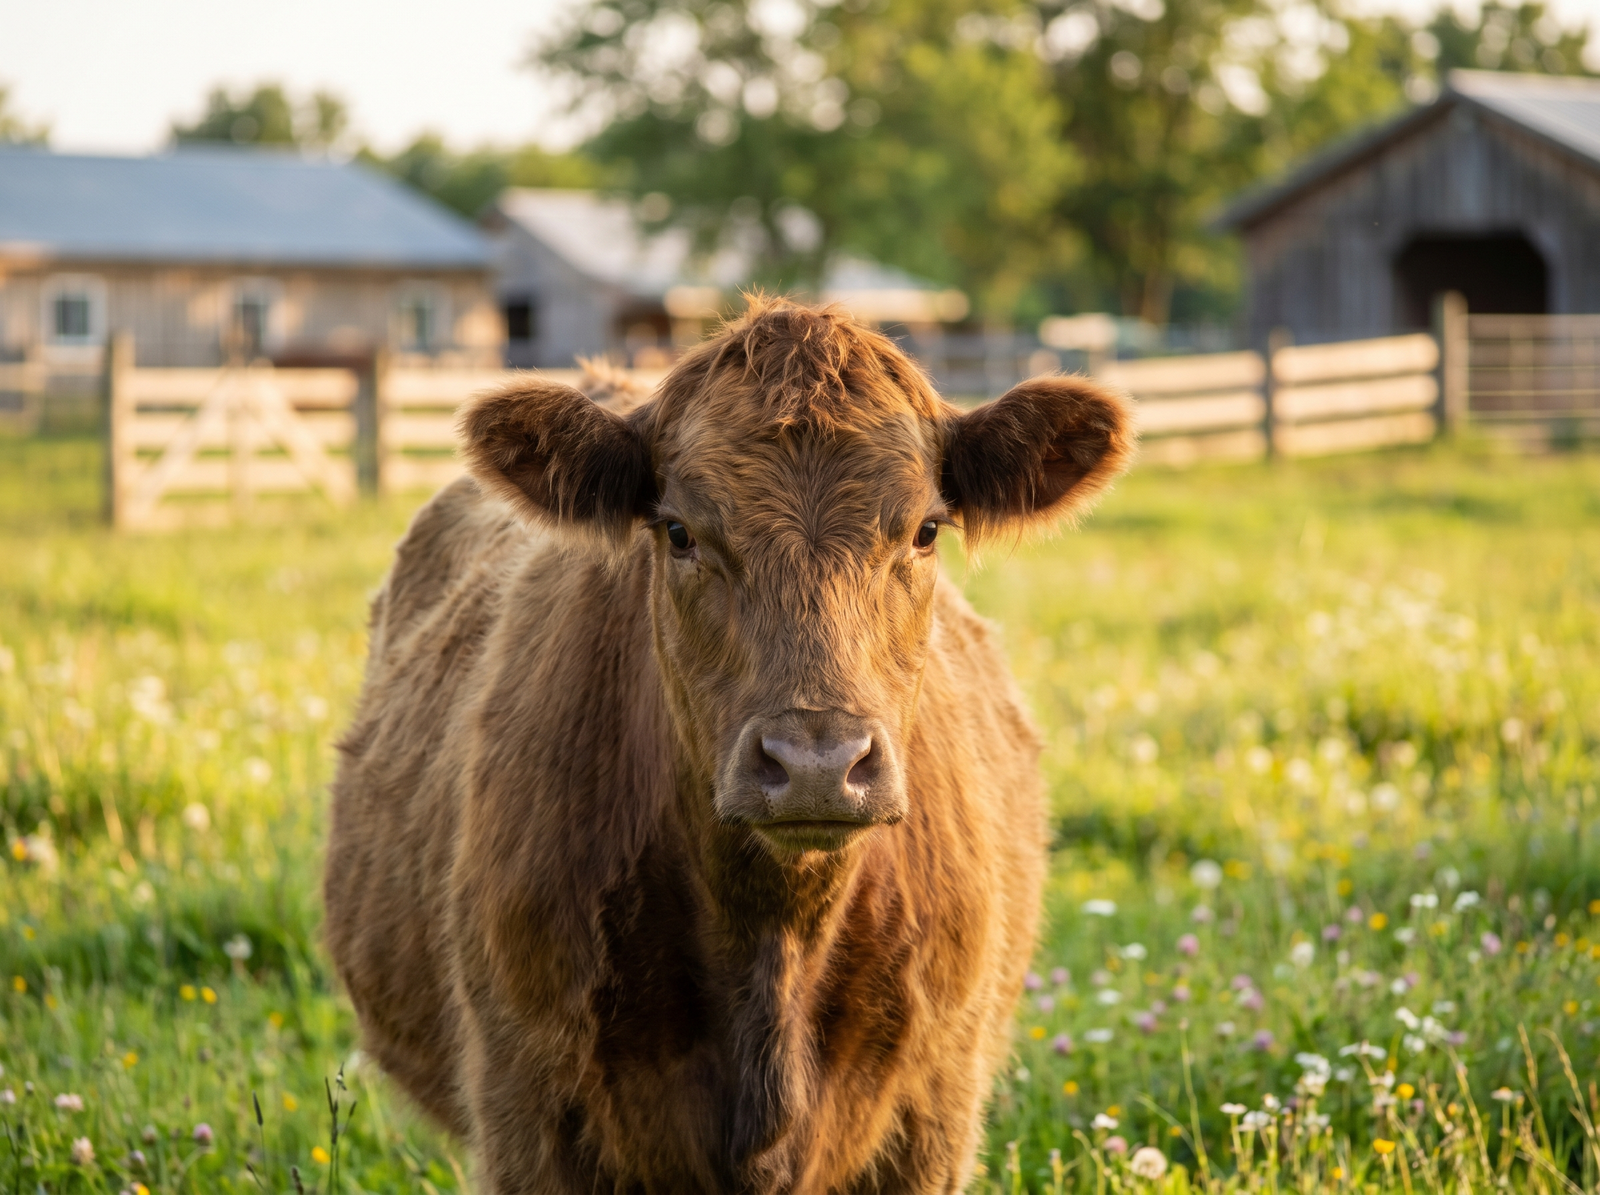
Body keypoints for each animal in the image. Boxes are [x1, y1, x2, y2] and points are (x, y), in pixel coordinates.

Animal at [324, 297, 1134, 1194]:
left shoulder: (932, 1118)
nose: (817, 764)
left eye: (925, 530)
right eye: (679, 531)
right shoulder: (527, 1107)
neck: (772, 943)